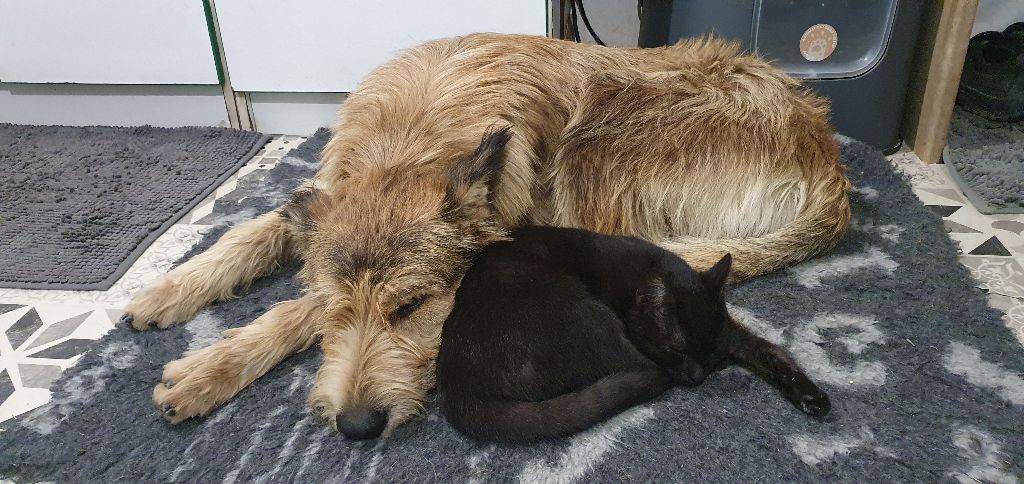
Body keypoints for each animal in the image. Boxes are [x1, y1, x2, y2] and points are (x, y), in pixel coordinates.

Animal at [436, 225, 827, 442]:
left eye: (711, 356)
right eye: (677, 349)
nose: (697, 377)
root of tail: (458, 391)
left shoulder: (731, 335)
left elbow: (769, 350)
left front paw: (811, 396)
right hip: (585, 311)